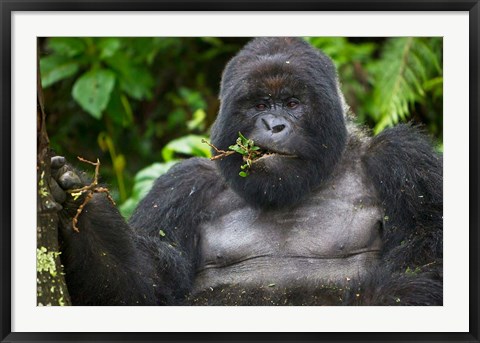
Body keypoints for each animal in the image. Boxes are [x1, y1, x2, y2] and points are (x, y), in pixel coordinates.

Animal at [50, 37, 444, 306]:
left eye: (292, 103)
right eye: (259, 105)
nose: (273, 125)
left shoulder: (403, 160)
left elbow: (423, 267)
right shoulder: (183, 185)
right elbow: (144, 288)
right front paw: (82, 208)